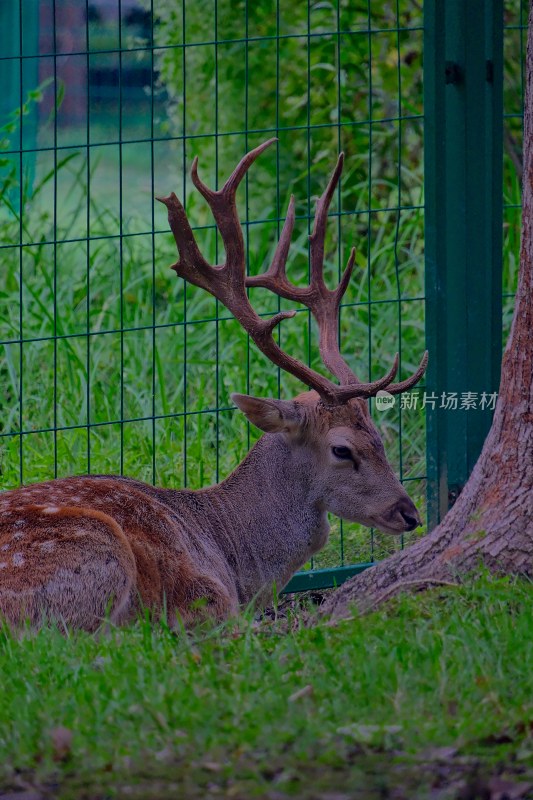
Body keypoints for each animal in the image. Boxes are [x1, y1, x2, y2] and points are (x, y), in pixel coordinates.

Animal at [0, 141, 426, 636]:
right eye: (342, 450)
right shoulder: (205, 596)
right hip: (94, 553)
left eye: (379, 438)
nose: (410, 513)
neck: (233, 557)